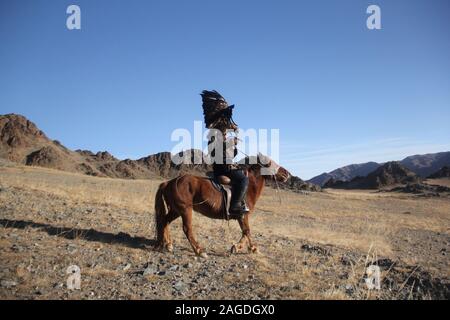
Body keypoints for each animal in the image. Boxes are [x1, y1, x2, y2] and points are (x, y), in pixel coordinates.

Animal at [154, 156, 288, 258]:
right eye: (270, 163)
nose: (287, 174)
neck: (249, 188)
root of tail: (169, 182)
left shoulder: (241, 216)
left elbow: (245, 232)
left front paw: (240, 248)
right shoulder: (243, 215)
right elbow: (247, 231)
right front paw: (250, 248)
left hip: (176, 210)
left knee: (165, 221)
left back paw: (168, 244)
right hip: (185, 210)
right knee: (187, 229)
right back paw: (199, 251)